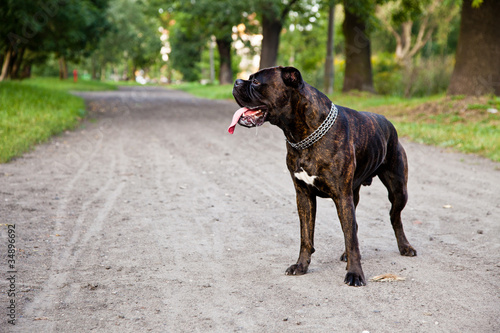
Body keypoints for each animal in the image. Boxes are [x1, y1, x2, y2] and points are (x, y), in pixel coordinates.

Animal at [229, 65, 416, 286]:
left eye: (256, 82)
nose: (236, 82)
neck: (303, 134)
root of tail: (388, 122)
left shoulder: (342, 197)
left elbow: (351, 239)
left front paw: (355, 274)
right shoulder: (304, 196)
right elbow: (306, 236)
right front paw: (301, 266)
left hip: (398, 190)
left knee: (394, 218)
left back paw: (405, 247)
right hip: (354, 195)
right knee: (354, 226)